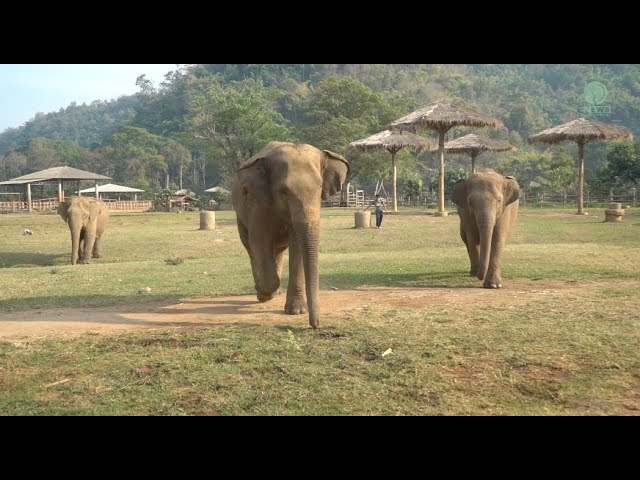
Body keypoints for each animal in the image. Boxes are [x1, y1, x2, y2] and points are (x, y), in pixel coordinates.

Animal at [232, 142, 350, 329]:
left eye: (319, 188)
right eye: (284, 191)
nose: (316, 325)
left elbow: (297, 245)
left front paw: (296, 311)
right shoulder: (257, 202)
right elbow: (259, 238)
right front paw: (265, 294)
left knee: (277, 250)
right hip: (240, 215)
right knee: (251, 247)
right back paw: (263, 292)